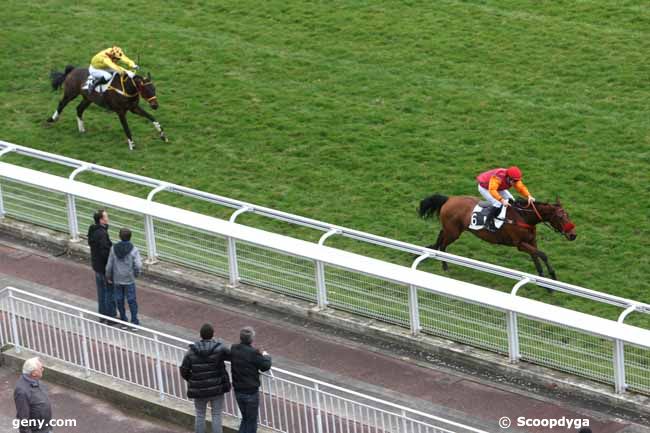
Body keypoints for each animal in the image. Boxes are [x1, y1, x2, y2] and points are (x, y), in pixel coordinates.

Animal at [418, 195, 576, 280]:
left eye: (568, 215)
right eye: (561, 217)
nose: (573, 235)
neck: (523, 217)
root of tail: (449, 199)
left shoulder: (531, 241)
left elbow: (536, 258)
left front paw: (546, 283)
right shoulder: (520, 244)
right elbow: (543, 255)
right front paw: (553, 276)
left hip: (450, 229)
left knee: (440, 236)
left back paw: (429, 249)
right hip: (454, 232)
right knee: (443, 245)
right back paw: (445, 266)